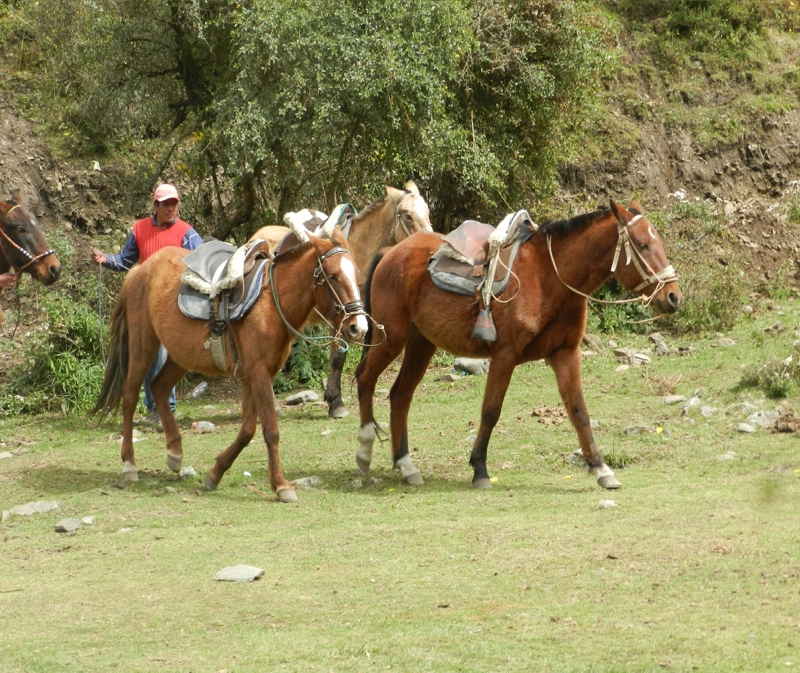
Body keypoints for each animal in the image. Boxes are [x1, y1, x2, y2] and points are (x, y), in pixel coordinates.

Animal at [92, 219, 368, 502]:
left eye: (356, 273)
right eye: (332, 275)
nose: (359, 327)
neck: (271, 302)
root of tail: (138, 270)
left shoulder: (253, 376)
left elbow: (247, 430)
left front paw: (215, 473)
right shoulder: (258, 373)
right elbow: (270, 430)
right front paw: (281, 485)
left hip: (181, 354)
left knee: (159, 387)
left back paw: (175, 453)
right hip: (143, 346)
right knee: (129, 397)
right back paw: (129, 464)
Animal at [354, 200, 682, 491]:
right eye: (642, 245)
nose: (674, 296)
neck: (548, 278)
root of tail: (389, 252)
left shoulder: (566, 354)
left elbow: (579, 410)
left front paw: (601, 468)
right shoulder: (505, 356)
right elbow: (490, 411)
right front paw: (480, 469)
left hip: (421, 344)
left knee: (400, 395)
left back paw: (406, 465)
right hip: (391, 338)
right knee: (365, 379)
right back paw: (365, 451)